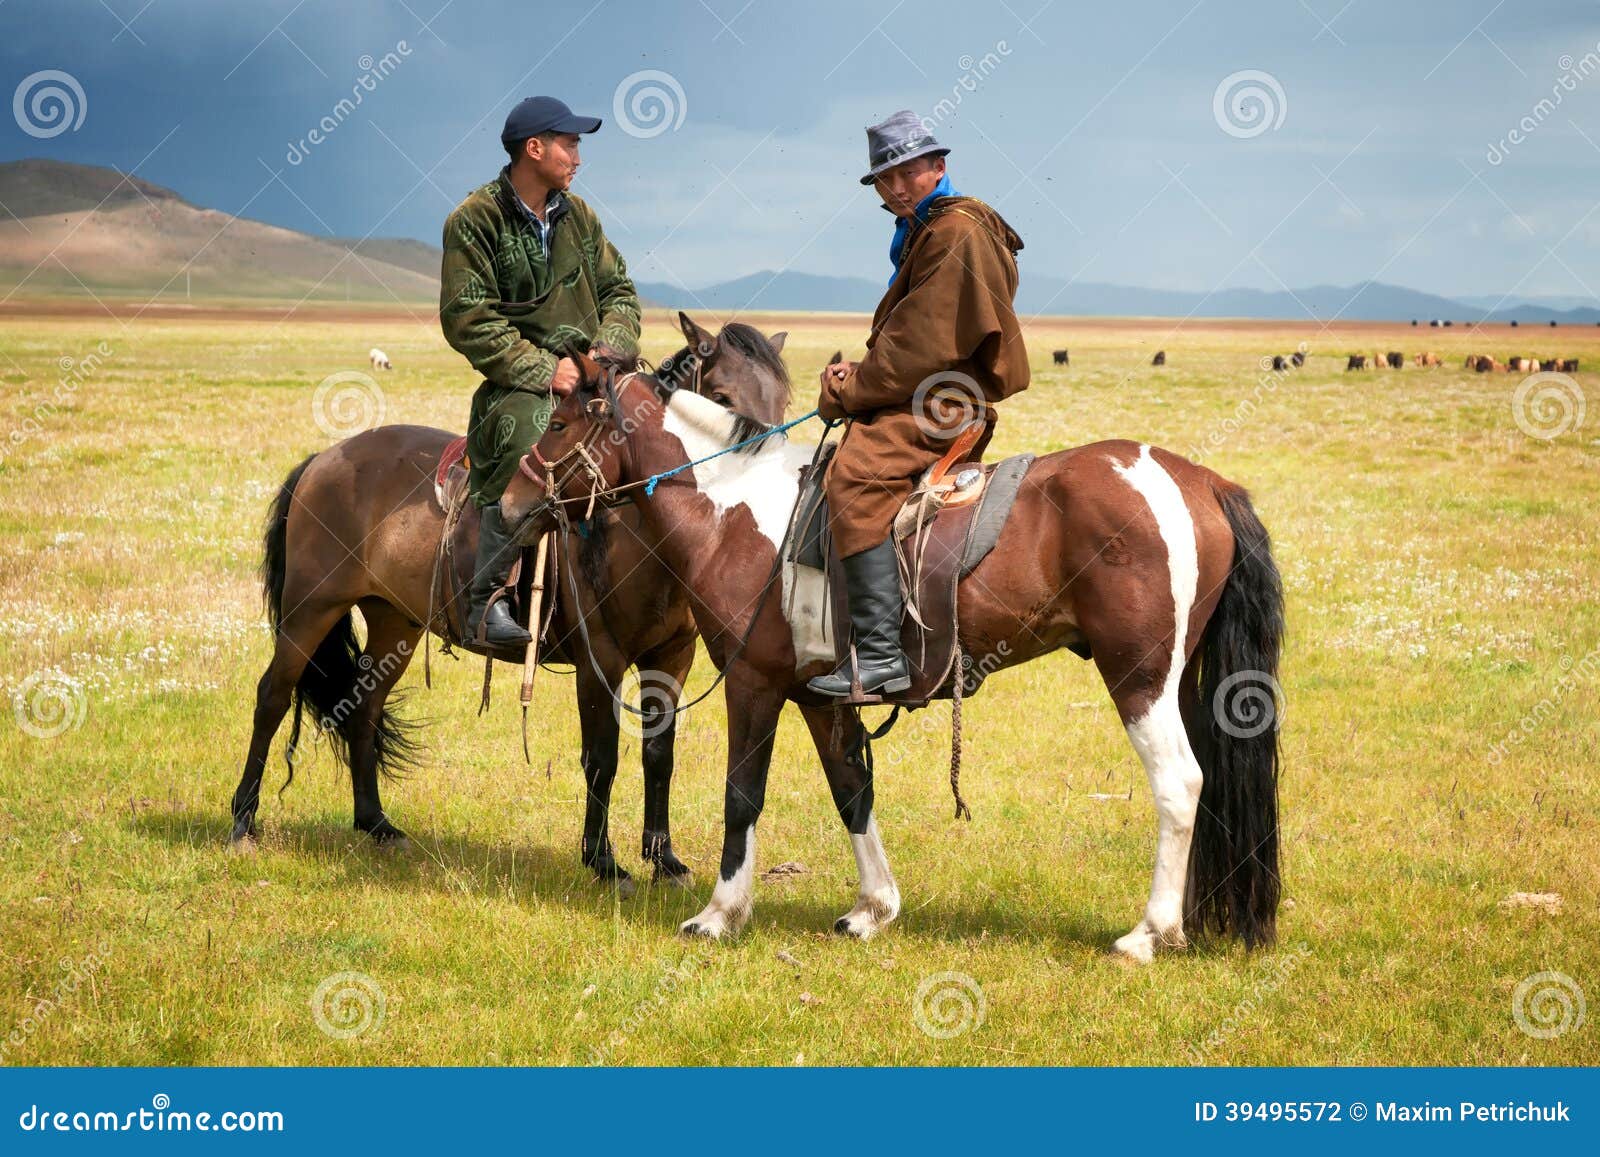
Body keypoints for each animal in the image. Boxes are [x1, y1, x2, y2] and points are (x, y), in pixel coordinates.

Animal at [228, 310, 790, 889]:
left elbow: (659, 753)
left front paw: (664, 858)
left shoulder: (674, 655)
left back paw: (376, 823)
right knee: (272, 696)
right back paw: (244, 821)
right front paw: (602, 859)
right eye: (721, 398)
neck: (639, 536)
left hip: (394, 624)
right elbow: (602, 757)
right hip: (310, 610)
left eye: (784, 402)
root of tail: (323, 458)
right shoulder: (601, 660)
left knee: (364, 704)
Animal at [502, 356, 1286, 966]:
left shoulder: (754, 685)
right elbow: (852, 790)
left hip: (1140, 678)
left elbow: (741, 796)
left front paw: (720, 915)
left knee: (1180, 784)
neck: (734, 512)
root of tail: (1201, 483)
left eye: (559, 424)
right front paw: (872, 908)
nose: (510, 503)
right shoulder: (819, 696)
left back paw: (1150, 933)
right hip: (1182, 681)